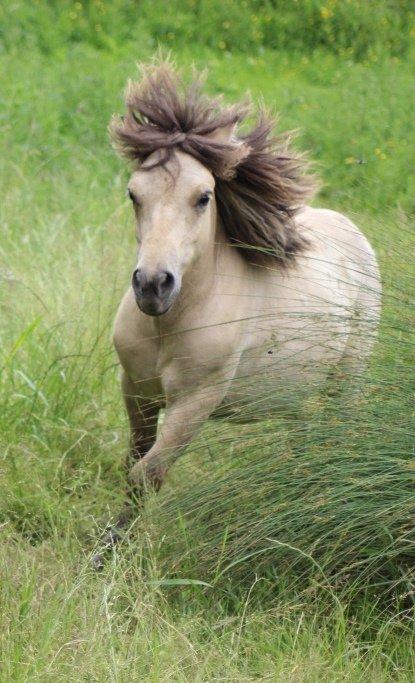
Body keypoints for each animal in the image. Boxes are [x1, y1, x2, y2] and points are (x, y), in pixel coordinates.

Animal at [92, 64, 382, 568]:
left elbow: (147, 474)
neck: (170, 322)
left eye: (204, 197)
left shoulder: (195, 402)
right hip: (299, 395)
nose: (153, 285)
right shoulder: (137, 390)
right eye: (133, 194)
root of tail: (353, 232)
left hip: (346, 382)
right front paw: (104, 549)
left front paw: (109, 557)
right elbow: (132, 465)